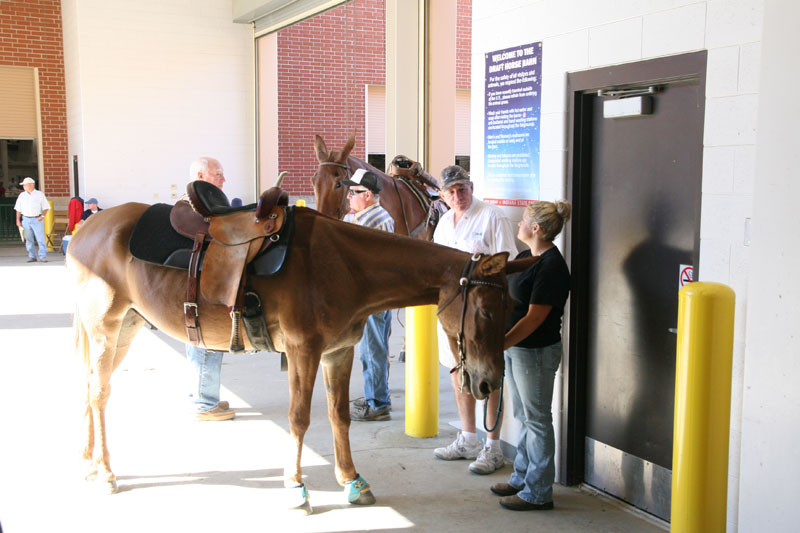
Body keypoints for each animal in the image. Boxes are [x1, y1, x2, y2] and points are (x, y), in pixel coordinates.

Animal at [67, 202, 532, 510]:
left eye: (512, 307)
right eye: (486, 310)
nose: (489, 382)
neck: (345, 264)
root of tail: (89, 227)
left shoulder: (338, 353)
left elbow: (338, 416)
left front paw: (352, 481)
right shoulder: (303, 350)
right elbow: (299, 418)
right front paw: (295, 486)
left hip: (125, 328)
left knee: (90, 389)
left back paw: (90, 462)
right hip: (106, 329)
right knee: (98, 394)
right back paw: (105, 472)